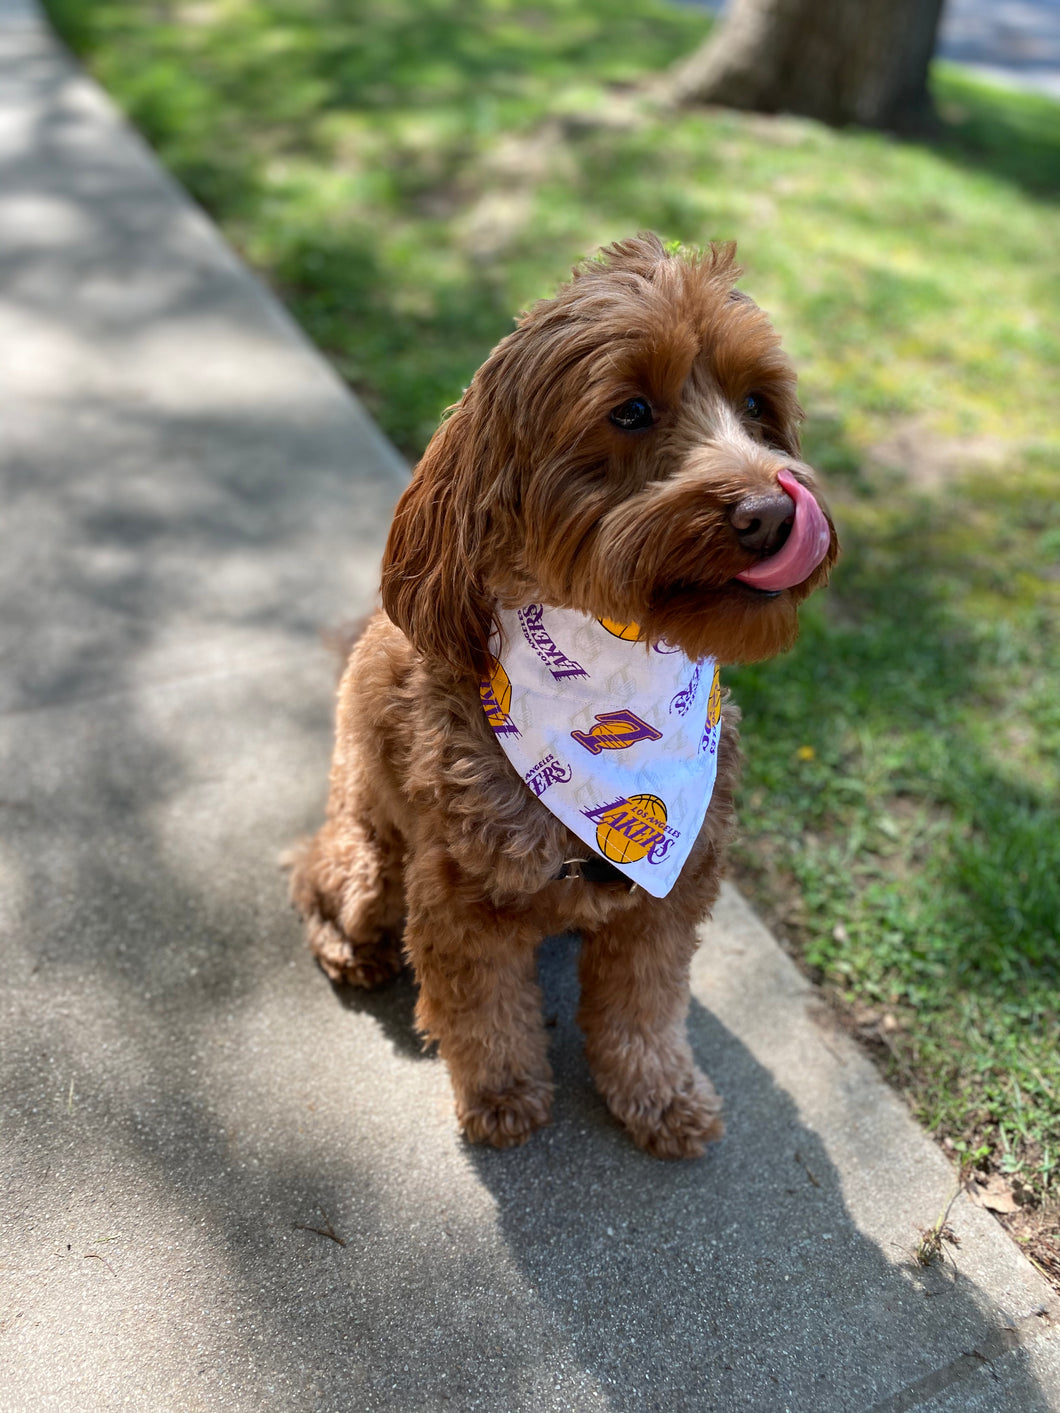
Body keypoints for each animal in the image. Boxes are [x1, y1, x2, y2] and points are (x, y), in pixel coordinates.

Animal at [291, 231, 836, 1158]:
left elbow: (643, 1007)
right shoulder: (456, 896)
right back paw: (353, 951)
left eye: (758, 404)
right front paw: (503, 1094)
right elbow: (483, 1010)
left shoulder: (672, 892)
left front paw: (657, 1093)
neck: (615, 676)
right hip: (369, 866)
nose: (771, 512)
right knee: (316, 883)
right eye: (631, 411)